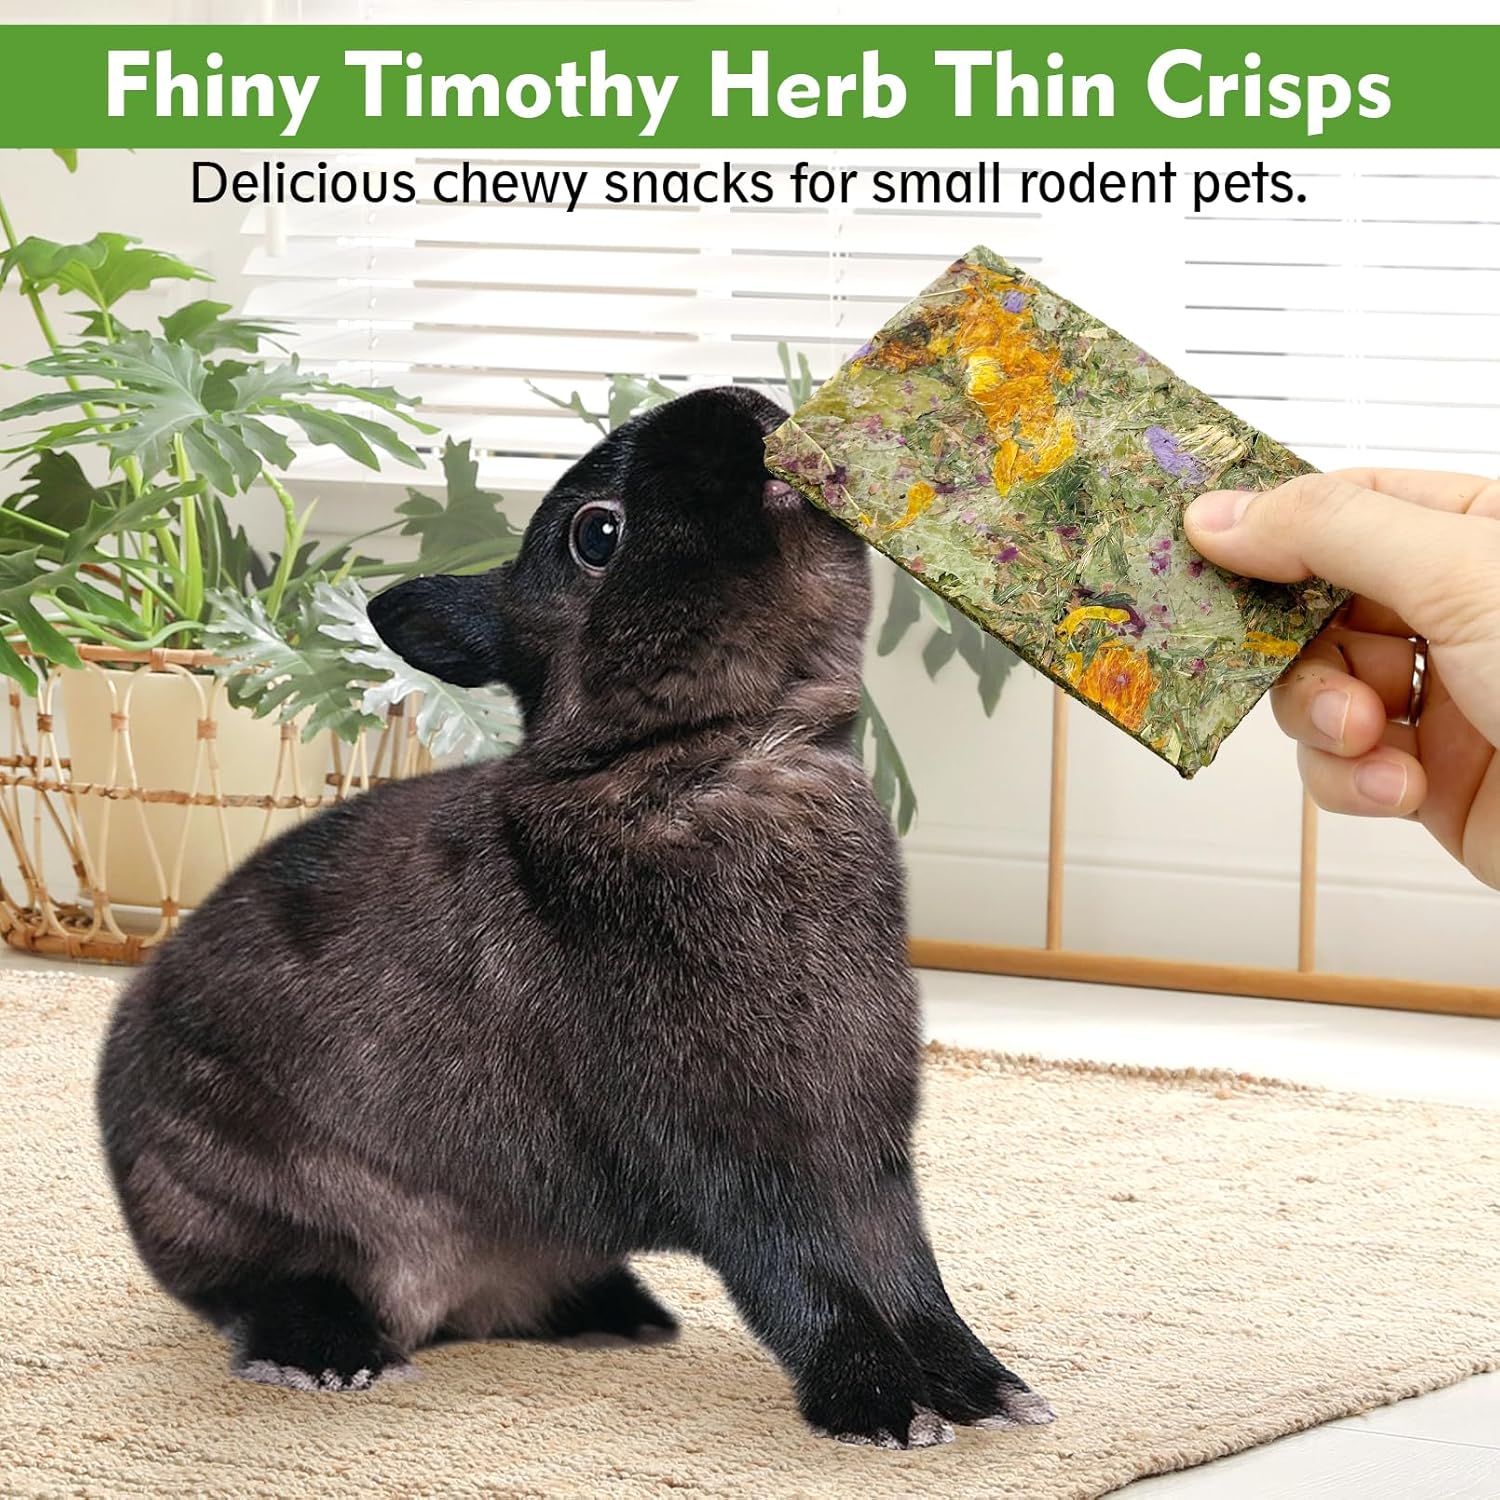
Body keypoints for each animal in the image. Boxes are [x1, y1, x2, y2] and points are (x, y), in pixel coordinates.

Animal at [95, 385, 1053, 1448]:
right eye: (599, 535)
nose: (735, 405)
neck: (718, 751)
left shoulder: (866, 1149)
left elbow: (912, 1278)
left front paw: (989, 1392)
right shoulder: (729, 1154)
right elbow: (807, 1278)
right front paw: (881, 1410)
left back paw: (619, 1318)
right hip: (243, 1198)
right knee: (267, 1288)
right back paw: (331, 1355)